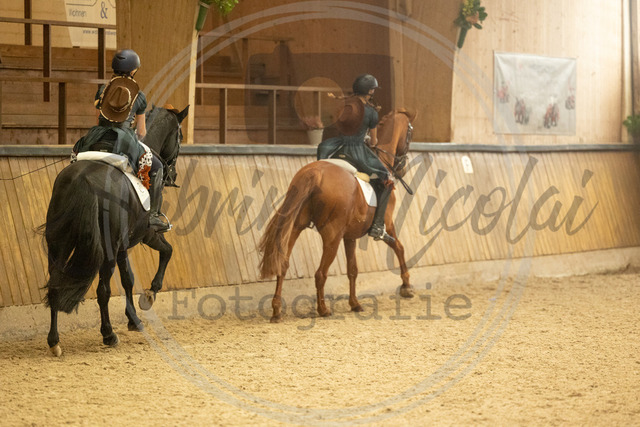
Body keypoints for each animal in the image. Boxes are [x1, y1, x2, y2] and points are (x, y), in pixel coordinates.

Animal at [42, 104, 189, 356]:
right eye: (179, 136)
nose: (173, 175)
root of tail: (82, 180)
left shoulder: (122, 246)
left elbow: (128, 278)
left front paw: (133, 319)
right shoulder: (146, 234)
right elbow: (167, 251)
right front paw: (149, 295)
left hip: (58, 245)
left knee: (55, 283)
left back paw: (55, 341)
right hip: (106, 250)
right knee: (103, 291)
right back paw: (108, 334)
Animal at [258, 109, 416, 323]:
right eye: (410, 133)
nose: (402, 167)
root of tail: (315, 173)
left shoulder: (349, 236)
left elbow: (352, 270)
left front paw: (355, 303)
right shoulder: (387, 224)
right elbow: (399, 247)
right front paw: (406, 287)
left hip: (296, 227)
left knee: (282, 264)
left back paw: (276, 311)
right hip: (332, 236)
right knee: (320, 273)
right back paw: (323, 309)